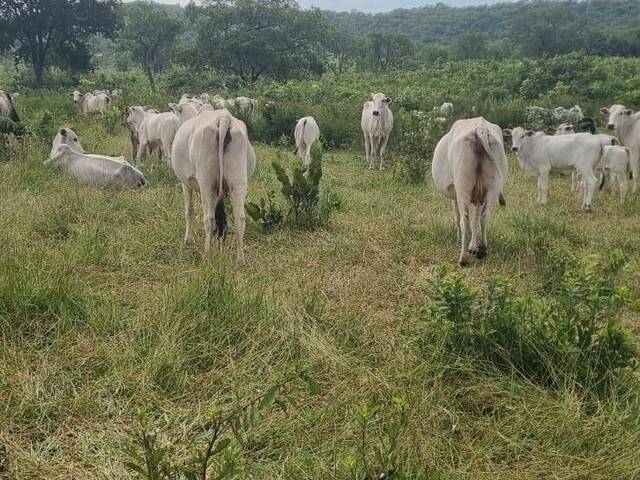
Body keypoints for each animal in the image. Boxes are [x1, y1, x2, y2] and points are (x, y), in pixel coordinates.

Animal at [172, 109, 258, 260]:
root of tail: (223, 118)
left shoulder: (185, 183)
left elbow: (189, 211)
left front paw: (187, 240)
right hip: (239, 182)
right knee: (239, 218)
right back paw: (240, 258)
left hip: (206, 183)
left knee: (208, 218)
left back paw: (207, 253)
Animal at [432, 116, 508, 266]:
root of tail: (480, 128)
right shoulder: (479, 196)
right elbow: (476, 219)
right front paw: (473, 247)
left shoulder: (455, 196)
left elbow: (458, 218)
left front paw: (461, 241)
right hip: (492, 186)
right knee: (484, 217)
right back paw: (482, 249)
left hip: (463, 188)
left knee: (464, 221)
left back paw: (463, 259)